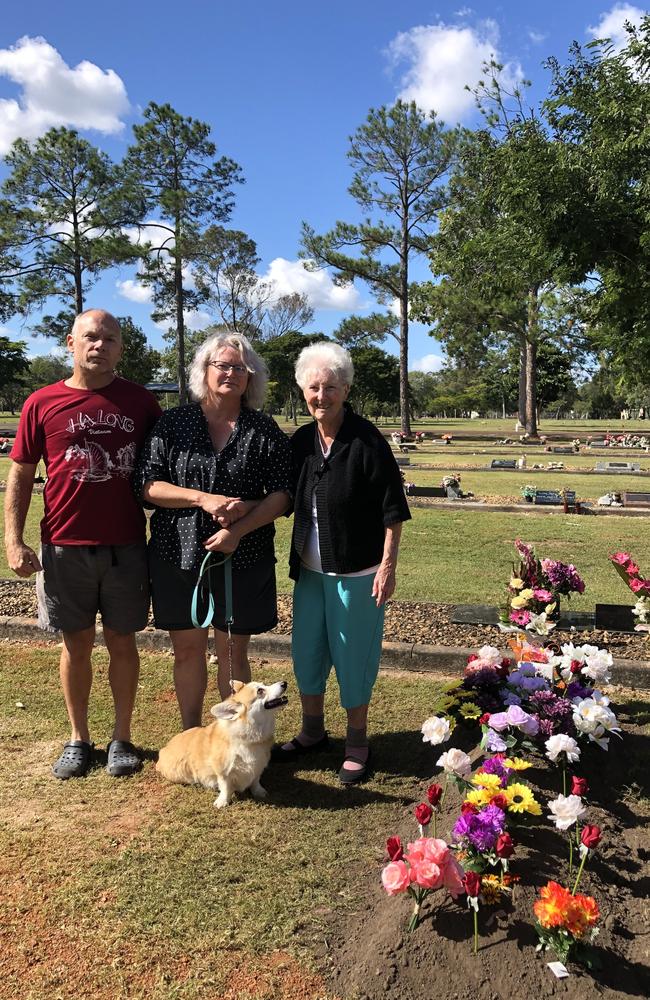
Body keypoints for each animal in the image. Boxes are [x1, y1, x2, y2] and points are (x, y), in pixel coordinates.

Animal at [154, 676, 286, 808]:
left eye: (264, 685)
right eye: (260, 691)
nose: (284, 683)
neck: (249, 736)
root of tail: (162, 751)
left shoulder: (258, 765)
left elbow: (255, 780)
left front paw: (259, 791)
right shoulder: (223, 770)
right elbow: (225, 786)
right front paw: (222, 802)